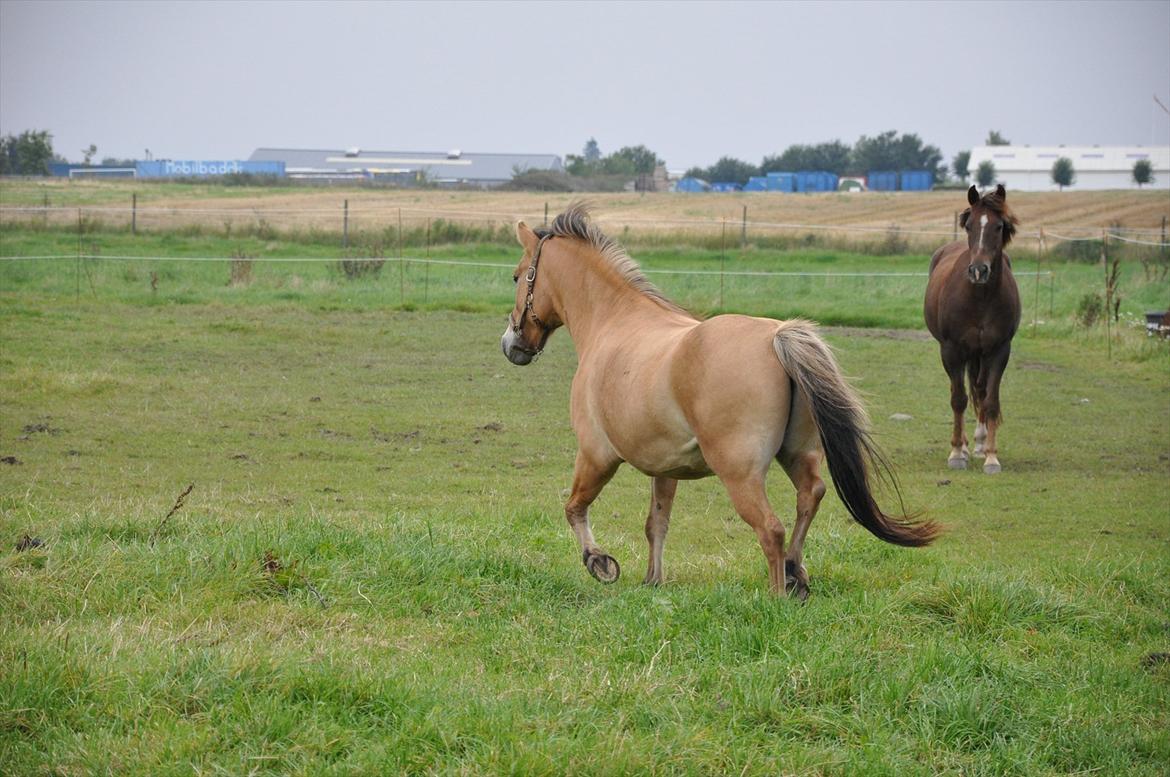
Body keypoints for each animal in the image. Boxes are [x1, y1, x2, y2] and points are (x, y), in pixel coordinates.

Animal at [498, 203, 935, 596]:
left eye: (518, 276)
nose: (510, 345)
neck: (613, 322)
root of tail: (777, 338)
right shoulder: (665, 468)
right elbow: (656, 523)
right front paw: (653, 581)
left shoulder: (596, 454)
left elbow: (574, 507)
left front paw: (599, 563)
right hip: (797, 455)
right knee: (809, 497)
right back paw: (796, 574)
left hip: (740, 474)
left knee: (771, 529)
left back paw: (778, 597)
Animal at [926, 184, 1020, 472]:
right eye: (969, 226)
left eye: (999, 226)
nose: (979, 270)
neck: (980, 298)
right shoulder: (952, 350)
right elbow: (958, 399)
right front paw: (957, 453)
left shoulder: (999, 351)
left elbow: (990, 400)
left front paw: (991, 455)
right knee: (962, 392)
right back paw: (967, 446)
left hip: (980, 354)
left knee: (978, 389)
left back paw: (978, 444)